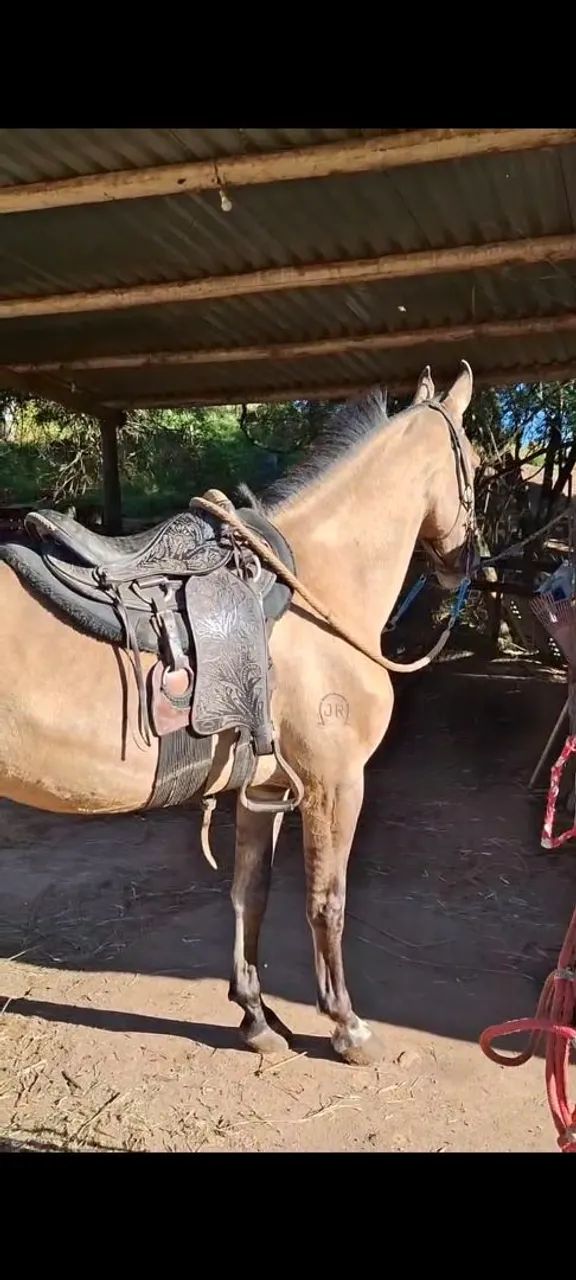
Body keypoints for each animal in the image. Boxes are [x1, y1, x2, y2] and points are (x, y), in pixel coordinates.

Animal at [0, 362, 479, 1065]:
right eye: (474, 462)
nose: (461, 566)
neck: (317, 587)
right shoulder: (336, 784)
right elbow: (327, 901)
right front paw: (347, 1026)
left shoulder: (267, 789)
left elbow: (249, 895)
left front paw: (255, 1018)